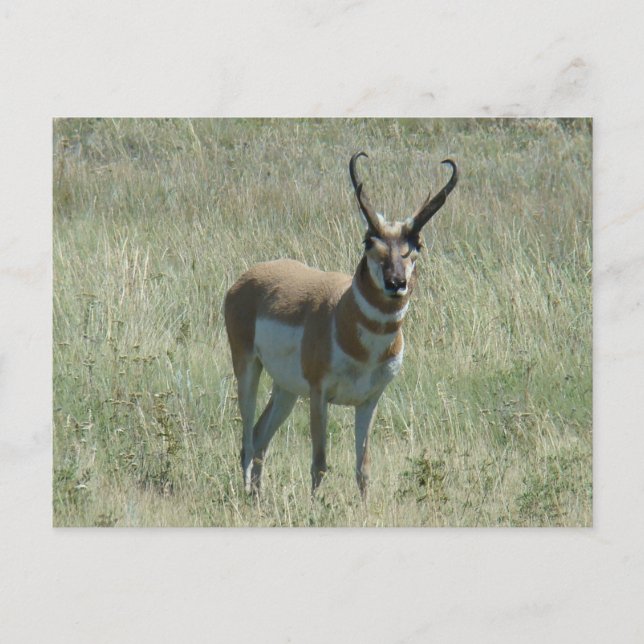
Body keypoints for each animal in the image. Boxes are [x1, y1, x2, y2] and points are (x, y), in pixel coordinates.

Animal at [224, 152, 458, 498]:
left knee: (260, 436)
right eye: (369, 241)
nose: (396, 283)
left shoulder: (369, 400)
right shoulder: (319, 394)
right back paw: (245, 494)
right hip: (248, 368)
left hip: (286, 389)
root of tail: (248, 277)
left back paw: (257, 497)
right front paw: (315, 506)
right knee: (247, 441)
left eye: (417, 243)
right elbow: (320, 462)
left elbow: (363, 468)